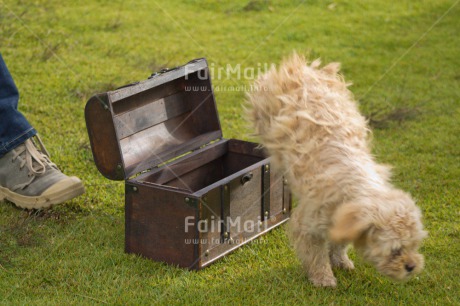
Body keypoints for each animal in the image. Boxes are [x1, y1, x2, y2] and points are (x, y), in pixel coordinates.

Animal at [246, 52, 426, 286]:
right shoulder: (310, 225)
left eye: (414, 245)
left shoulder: (340, 221)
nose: (411, 266)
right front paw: (323, 278)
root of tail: (300, 66)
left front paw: (340, 260)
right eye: (395, 250)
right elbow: (316, 255)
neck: (357, 187)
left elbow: (340, 242)